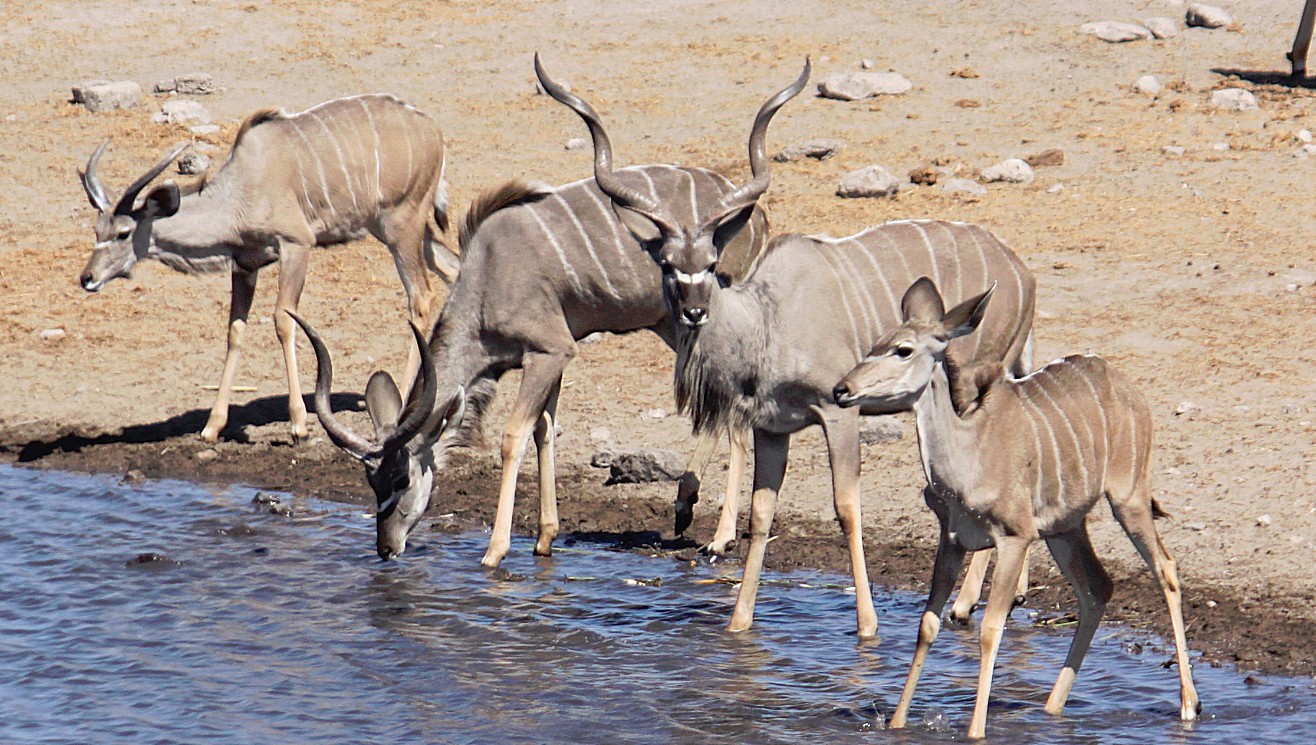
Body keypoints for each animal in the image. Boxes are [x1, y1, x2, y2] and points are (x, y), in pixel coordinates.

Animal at [80, 93, 457, 444]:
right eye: (97, 230)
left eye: (123, 233)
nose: (87, 278)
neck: (240, 192)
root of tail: (432, 130)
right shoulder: (246, 263)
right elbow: (235, 330)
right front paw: (212, 426)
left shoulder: (296, 245)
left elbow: (283, 321)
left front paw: (299, 424)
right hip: (403, 230)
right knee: (452, 270)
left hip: (401, 226)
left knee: (421, 296)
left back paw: (405, 397)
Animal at [292, 55, 789, 563]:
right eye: (370, 480)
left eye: (401, 477)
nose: (387, 547)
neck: (487, 275)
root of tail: (758, 220)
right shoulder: (549, 357)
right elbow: (543, 431)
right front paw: (545, 537)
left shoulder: (550, 351)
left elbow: (513, 436)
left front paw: (495, 552)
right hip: (671, 323)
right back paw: (687, 508)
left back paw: (719, 534)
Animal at [544, 61, 1037, 639]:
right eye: (666, 263)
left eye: (711, 263)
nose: (694, 312)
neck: (768, 321)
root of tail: (1021, 272)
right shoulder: (771, 428)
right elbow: (761, 515)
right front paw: (739, 622)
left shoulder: (838, 411)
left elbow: (846, 508)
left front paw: (867, 626)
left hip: (968, 382)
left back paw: (963, 604)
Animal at [836, 280, 1200, 742]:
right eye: (874, 344)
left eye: (903, 349)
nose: (841, 390)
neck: (969, 457)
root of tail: (1125, 386)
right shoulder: (952, 539)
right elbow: (928, 624)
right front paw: (898, 722)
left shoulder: (1014, 537)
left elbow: (990, 629)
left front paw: (976, 730)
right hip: (1065, 528)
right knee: (1098, 587)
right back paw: (1051, 708)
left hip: (1127, 497)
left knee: (1165, 568)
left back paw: (1189, 705)